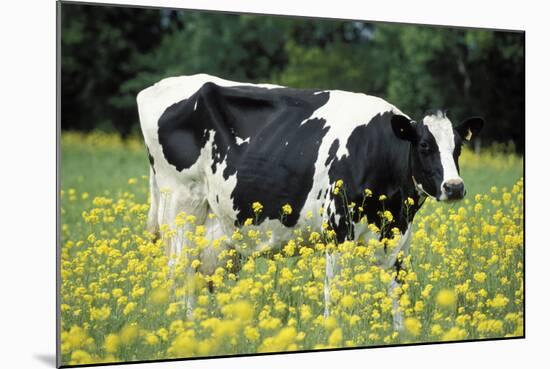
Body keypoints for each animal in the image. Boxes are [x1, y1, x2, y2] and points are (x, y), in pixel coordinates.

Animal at [137, 72, 484, 324]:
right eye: (425, 146)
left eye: (458, 147)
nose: (455, 187)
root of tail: (158, 87)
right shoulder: (338, 229)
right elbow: (336, 291)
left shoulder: (398, 235)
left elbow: (397, 288)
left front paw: (402, 332)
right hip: (181, 202)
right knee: (181, 267)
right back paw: (187, 326)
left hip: (218, 228)